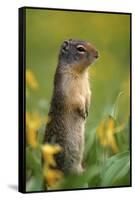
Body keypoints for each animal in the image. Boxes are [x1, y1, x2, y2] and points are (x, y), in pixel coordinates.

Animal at [43, 38, 98, 173]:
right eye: (80, 49)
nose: (97, 54)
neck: (80, 73)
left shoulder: (87, 87)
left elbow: (88, 95)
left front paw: (87, 110)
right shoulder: (68, 87)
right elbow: (76, 100)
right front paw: (83, 111)